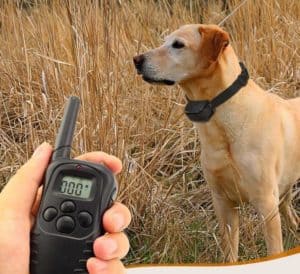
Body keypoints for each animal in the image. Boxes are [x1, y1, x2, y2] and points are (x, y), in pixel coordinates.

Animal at [134, 24, 300, 262]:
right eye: (164, 41)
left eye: (178, 44)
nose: (136, 60)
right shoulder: (223, 203)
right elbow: (229, 255)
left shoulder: (266, 203)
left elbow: (273, 249)